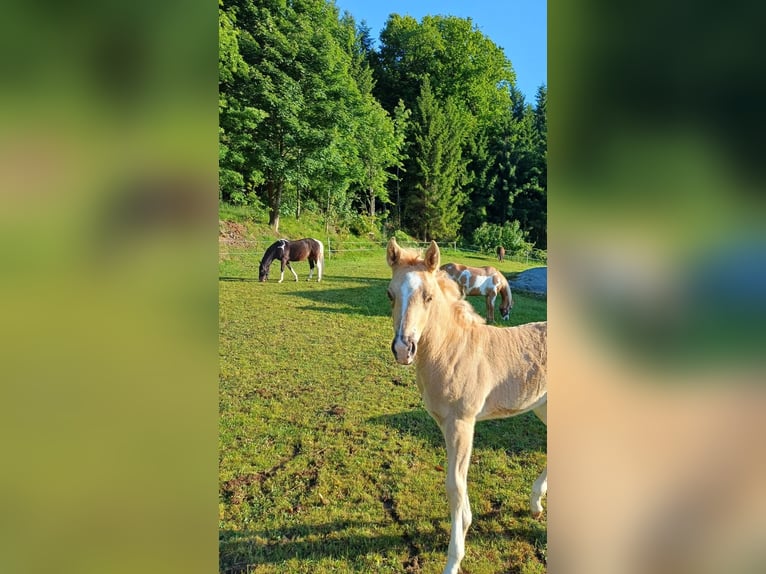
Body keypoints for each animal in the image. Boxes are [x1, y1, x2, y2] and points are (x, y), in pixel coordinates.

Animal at [386, 238, 547, 574]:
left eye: (429, 296)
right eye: (390, 294)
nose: (404, 349)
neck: (453, 350)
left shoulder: (462, 422)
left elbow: (454, 486)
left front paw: (454, 559)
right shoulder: (445, 424)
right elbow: (456, 482)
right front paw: (467, 522)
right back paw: (536, 504)